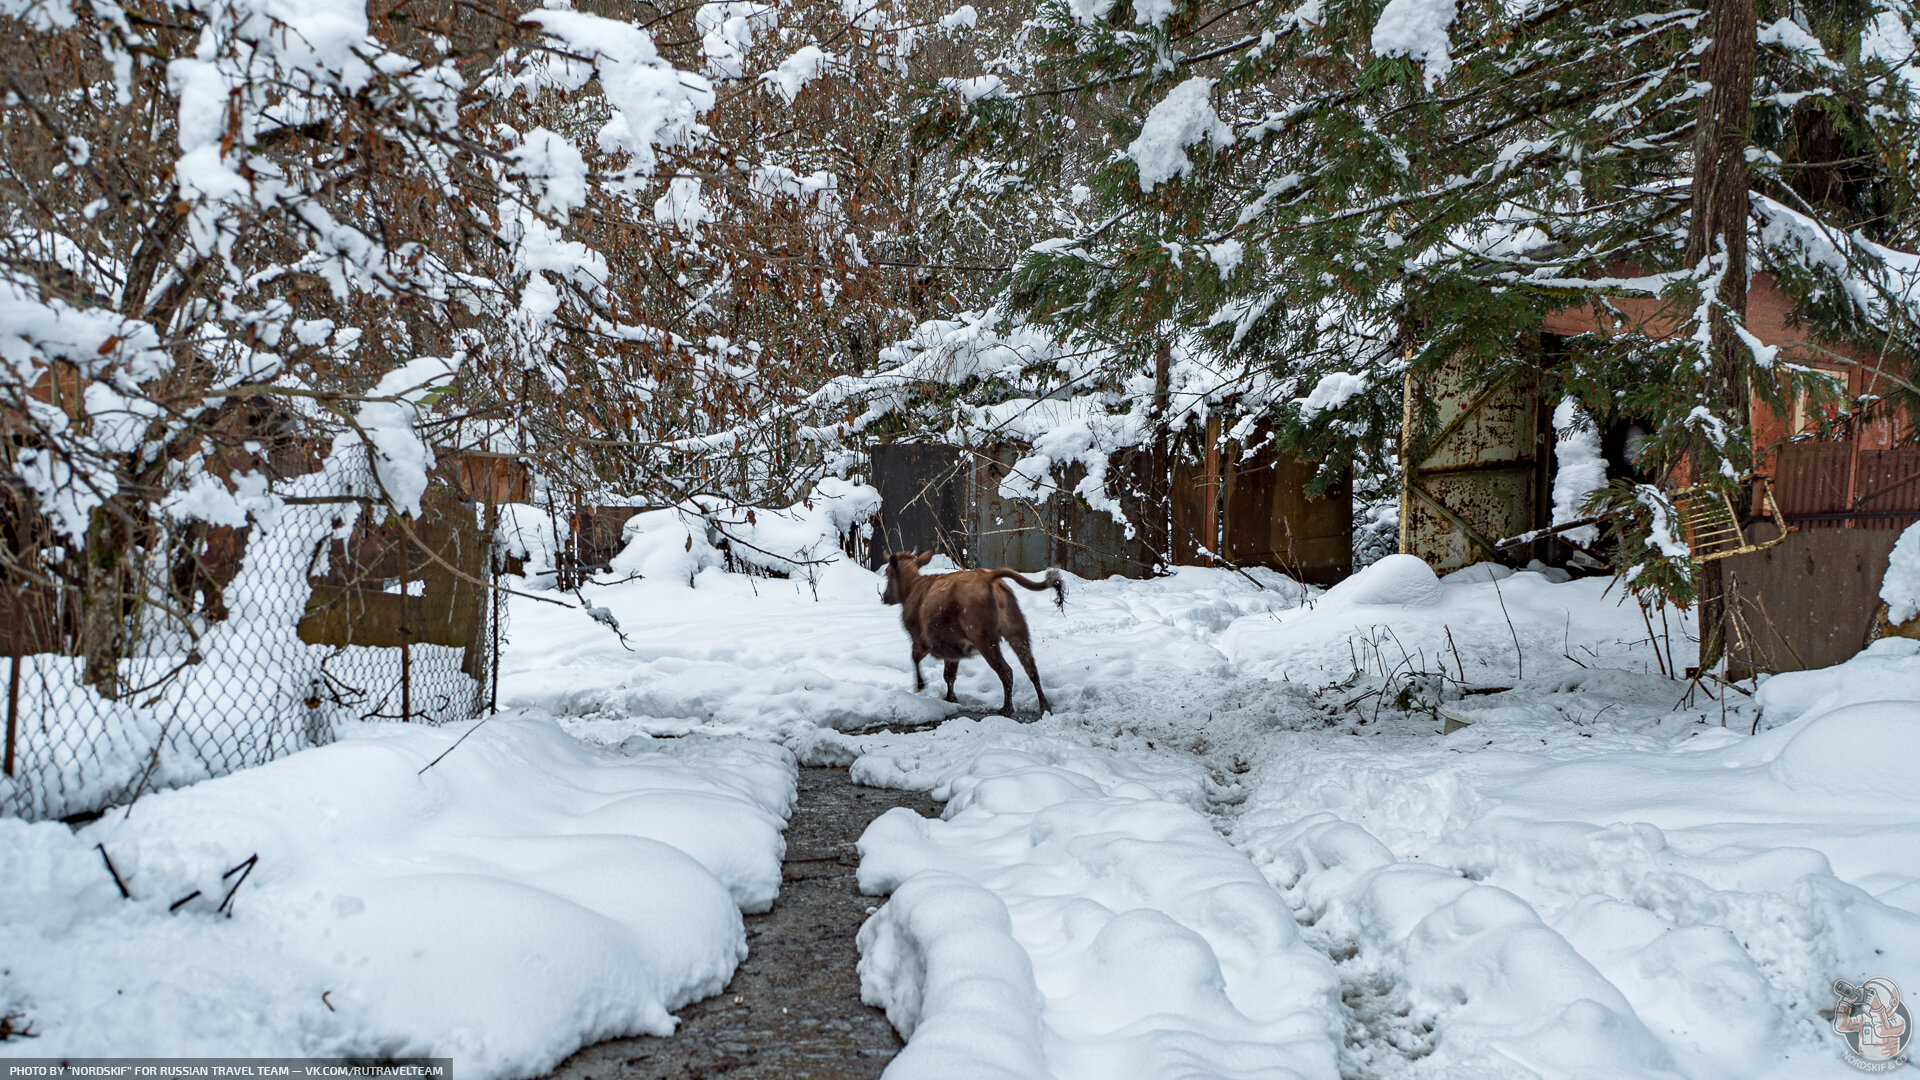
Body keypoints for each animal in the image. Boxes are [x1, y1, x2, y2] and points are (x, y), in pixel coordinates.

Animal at [883, 545, 1067, 714]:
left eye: (887, 573)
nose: (884, 597)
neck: (913, 587)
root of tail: (988, 577)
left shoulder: (919, 640)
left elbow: (916, 658)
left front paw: (921, 685)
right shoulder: (952, 648)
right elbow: (949, 674)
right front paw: (951, 698)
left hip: (985, 640)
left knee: (1006, 671)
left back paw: (1007, 708)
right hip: (1017, 633)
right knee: (1031, 669)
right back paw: (1044, 707)